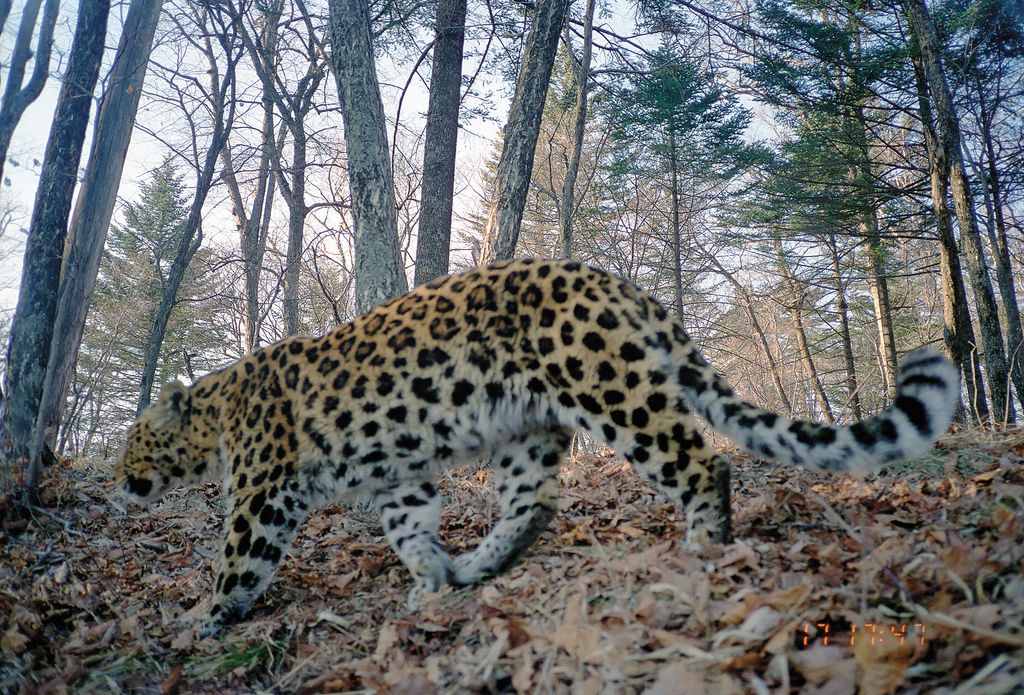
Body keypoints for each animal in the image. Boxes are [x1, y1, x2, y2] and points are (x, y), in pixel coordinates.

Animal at [116, 256, 962, 634]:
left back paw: (702, 549)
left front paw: (198, 619)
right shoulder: (399, 476)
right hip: (525, 427)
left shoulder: (263, 493)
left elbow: (237, 558)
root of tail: (613, 279)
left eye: (132, 447)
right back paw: (477, 567)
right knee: (536, 504)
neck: (215, 414)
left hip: (610, 390)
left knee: (699, 460)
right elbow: (410, 528)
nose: (122, 483)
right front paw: (431, 579)